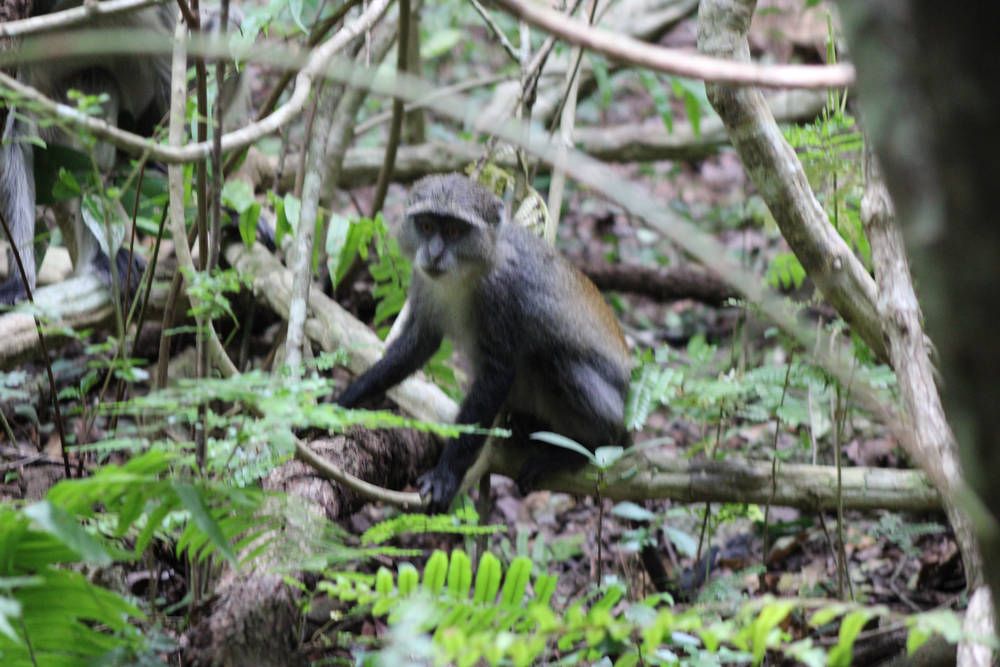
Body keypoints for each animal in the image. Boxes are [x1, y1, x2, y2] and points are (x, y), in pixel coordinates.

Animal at [337, 173, 632, 513]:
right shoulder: (423, 282)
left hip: (605, 403)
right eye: (426, 225)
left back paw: (581, 447)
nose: (434, 253)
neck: (466, 273)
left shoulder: (502, 294)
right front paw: (342, 400)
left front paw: (445, 476)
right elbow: (417, 345)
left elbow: (497, 374)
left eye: (454, 231)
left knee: (555, 361)